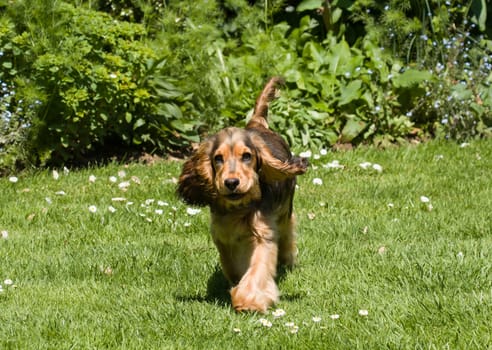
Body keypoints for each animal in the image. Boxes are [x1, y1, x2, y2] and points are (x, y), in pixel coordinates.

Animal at [177, 78, 308, 314]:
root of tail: (256, 124)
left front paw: (249, 300)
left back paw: (287, 259)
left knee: (287, 229)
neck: (239, 208)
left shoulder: (263, 232)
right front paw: (238, 286)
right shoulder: (222, 234)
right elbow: (233, 266)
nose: (231, 183)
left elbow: (257, 268)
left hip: (285, 210)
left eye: (247, 156)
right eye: (218, 158)